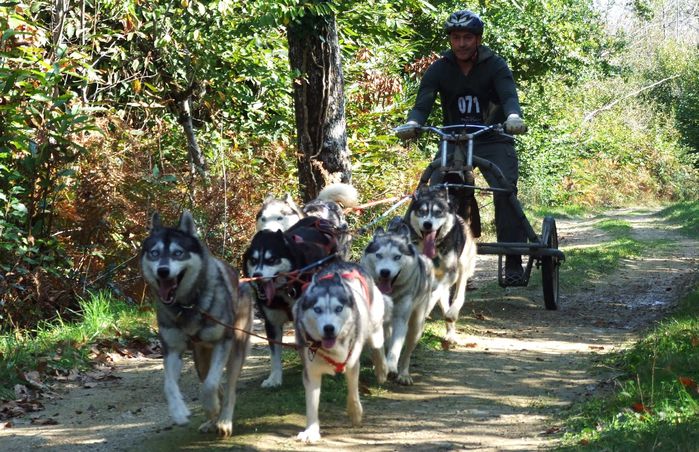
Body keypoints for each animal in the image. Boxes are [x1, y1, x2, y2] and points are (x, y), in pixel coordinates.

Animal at [141, 210, 253, 436]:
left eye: (178, 253)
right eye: (154, 253)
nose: (163, 271)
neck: (188, 305)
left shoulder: (223, 342)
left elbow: (210, 386)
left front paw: (211, 406)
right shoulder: (172, 350)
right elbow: (169, 386)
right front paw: (178, 412)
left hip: (236, 349)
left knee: (229, 388)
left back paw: (224, 419)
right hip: (200, 359)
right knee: (212, 380)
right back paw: (212, 420)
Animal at [243, 216, 340, 388]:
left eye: (272, 259)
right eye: (253, 260)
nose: (257, 276)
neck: (285, 290)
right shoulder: (272, 323)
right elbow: (275, 354)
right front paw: (274, 378)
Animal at [294, 260, 392, 444]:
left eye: (338, 308)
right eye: (317, 309)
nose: (329, 328)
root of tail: (345, 263)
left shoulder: (352, 363)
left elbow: (353, 391)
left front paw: (355, 413)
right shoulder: (311, 372)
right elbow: (312, 404)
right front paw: (311, 431)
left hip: (374, 327)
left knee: (378, 345)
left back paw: (382, 370)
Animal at [364, 217, 434, 384]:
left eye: (397, 257)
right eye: (379, 255)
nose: (385, 272)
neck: (391, 294)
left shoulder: (400, 319)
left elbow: (395, 348)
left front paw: (390, 367)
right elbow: (378, 346)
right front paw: (380, 366)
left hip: (416, 326)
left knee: (407, 352)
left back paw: (403, 374)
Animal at [408, 186, 478, 342]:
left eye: (438, 212)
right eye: (421, 211)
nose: (427, 224)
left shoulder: (450, 273)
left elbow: (435, 293)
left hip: (462, 269)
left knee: (458, 295)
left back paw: (452, 314)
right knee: (444, 303)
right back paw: (450, 331)